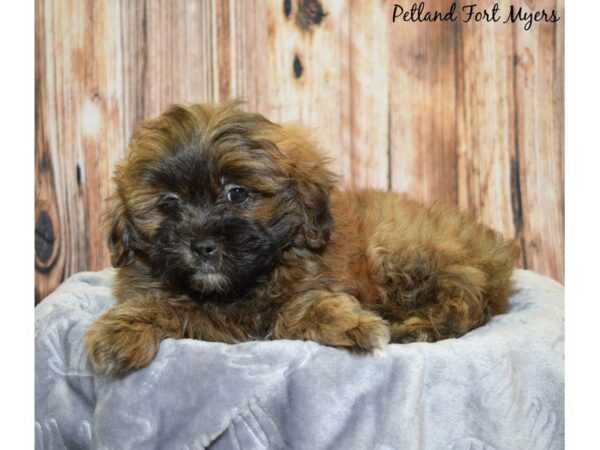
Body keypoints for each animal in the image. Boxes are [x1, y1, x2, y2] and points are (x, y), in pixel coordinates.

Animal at [85, 101, 520, 376]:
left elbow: (301, 307)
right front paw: (119, 331)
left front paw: (351, 324)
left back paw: (417, 326)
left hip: (400, 251)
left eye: (238, 193)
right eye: (169, 203)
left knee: (465, 295)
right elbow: (164, 305)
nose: (203, 246)